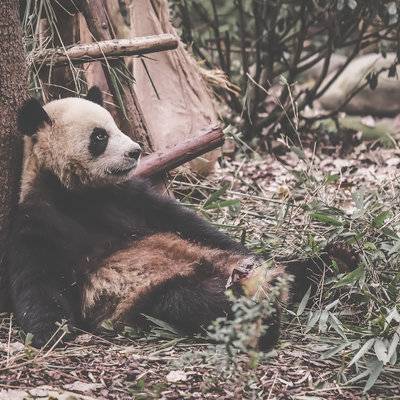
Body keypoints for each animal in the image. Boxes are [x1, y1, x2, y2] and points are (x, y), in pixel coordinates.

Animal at [7, 86, 338, 348]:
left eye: (115, 126)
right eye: (99, 137)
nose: (135, 151)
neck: (77, 191)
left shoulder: (129, 195)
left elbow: (183, 220)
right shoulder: (38, 216)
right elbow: (36, 277)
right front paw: (50, 331)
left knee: (297, 266)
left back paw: (325, 263)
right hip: (151, 292)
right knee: (194, 302)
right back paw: (258, 309)